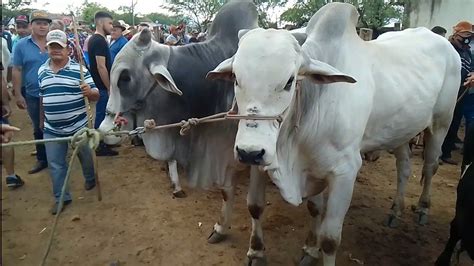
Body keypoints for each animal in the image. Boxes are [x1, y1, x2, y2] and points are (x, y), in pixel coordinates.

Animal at [206, 2, 460, 266]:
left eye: (289, 81)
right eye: (235, 78)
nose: (249, 152)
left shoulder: (345, 172)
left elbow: (330, 239)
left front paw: (314, 248)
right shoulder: (272, 160)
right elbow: (259, 206)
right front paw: (264, 251)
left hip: (441, 123)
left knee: (430, 166)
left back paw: (422, 208)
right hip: (400, 131)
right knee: (405, 167)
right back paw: (395, 211)